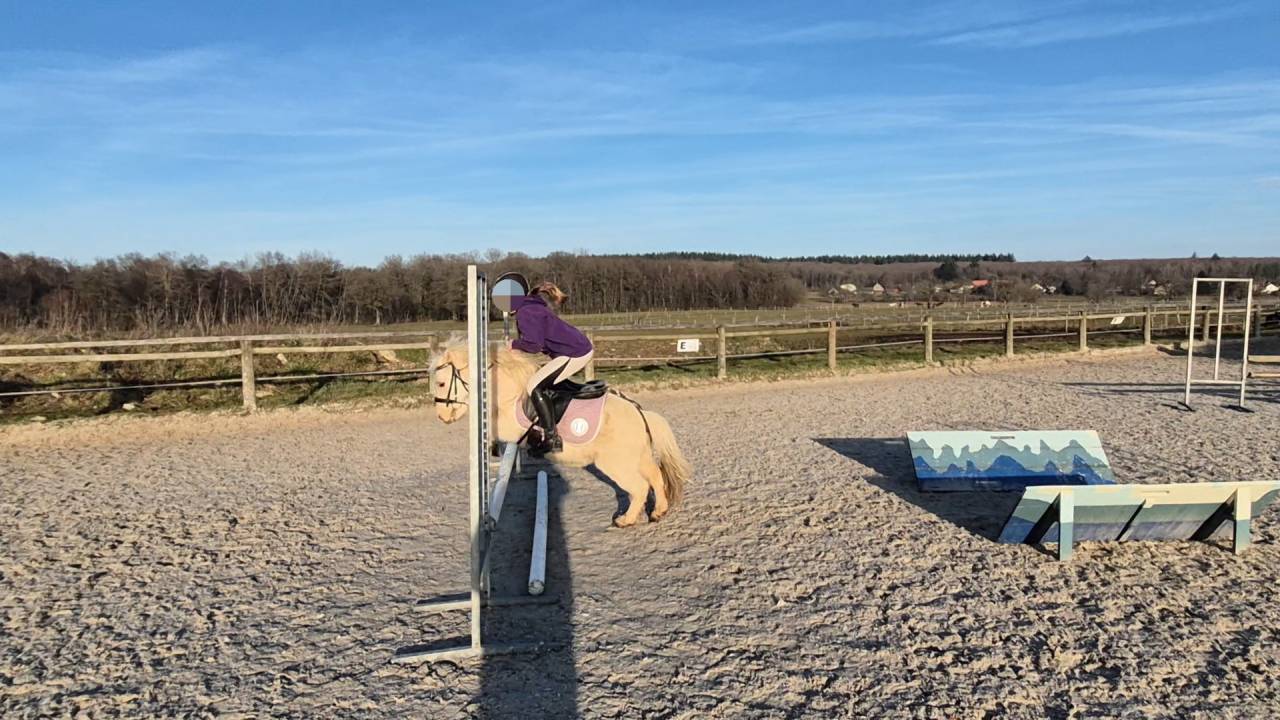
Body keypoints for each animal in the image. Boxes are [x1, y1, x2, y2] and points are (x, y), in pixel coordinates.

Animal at [432, 343, 691, 527]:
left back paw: (625, 520)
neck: (509, 392)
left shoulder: (510, 425)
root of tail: (639, 412)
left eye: (442, 383)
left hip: (615, 463)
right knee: (656, 477)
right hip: (638, 457)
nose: (442, 417)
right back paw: (658, 512)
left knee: (639, 487)